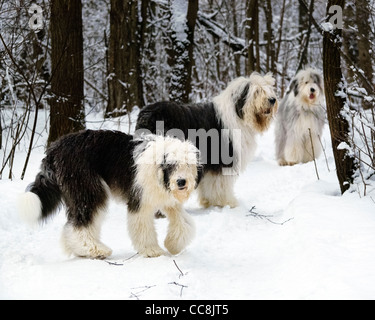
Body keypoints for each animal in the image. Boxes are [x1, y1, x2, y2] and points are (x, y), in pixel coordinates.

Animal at [18, 131, 203, 258]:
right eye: (171, 164)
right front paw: (153, 250)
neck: (158, 170)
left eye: (188, 164)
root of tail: (54, 149)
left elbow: (184, 224)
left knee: (74, 223)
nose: (181, 182)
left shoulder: (168, 201)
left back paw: (79, 249)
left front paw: (173, 245)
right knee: (81, 225)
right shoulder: (140, 201)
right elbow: (143, 228)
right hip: (88, 189)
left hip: (77, 193)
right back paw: (95, 249)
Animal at [136, 72, 280, 208]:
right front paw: (227, 202)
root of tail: (147, 115)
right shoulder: (222, 159)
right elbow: (221, 183)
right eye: (257, 91)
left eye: (268, 90)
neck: (238, 114)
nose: (272, 100)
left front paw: (209, 202)